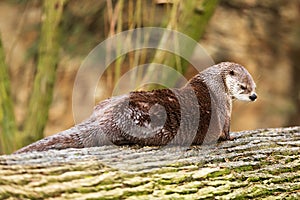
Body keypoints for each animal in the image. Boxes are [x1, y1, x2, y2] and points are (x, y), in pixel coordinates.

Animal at [14, 61, 256, 154]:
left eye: (255, 85)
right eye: (243, 87)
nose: (254, 96)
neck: (215, 84)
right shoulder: (224, 107)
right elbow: (225, 132)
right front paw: (233, 137)